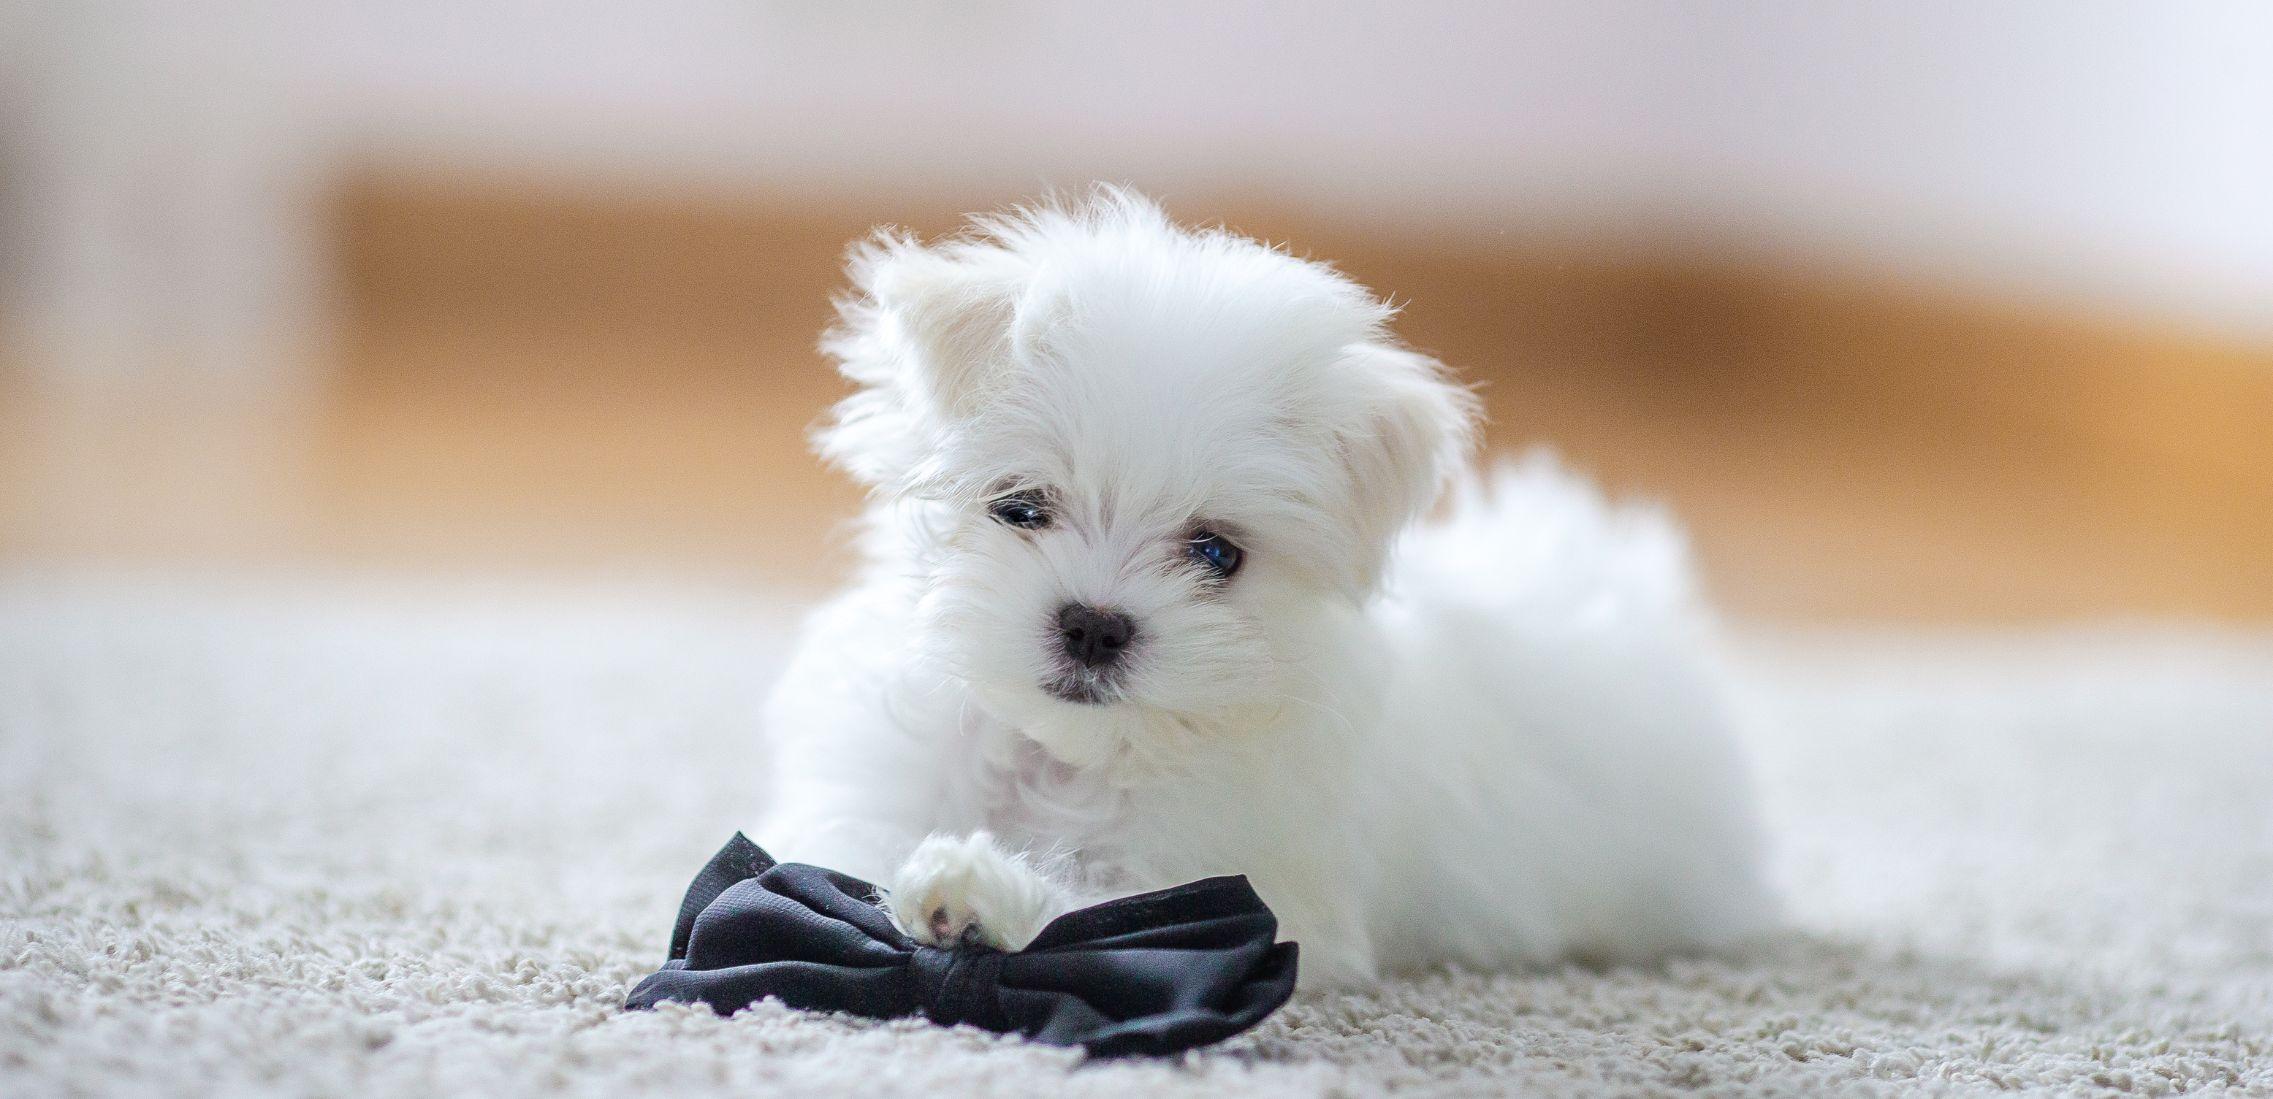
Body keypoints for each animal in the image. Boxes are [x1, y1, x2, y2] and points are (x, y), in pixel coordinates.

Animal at [754, 188, 1763, 985]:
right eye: (1021, 505)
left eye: (1215, 554)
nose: (1094, 625)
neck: (1070, 755)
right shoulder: (870, 796)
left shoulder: (1242, 879)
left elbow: (1116, 909)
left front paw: (975, 889)